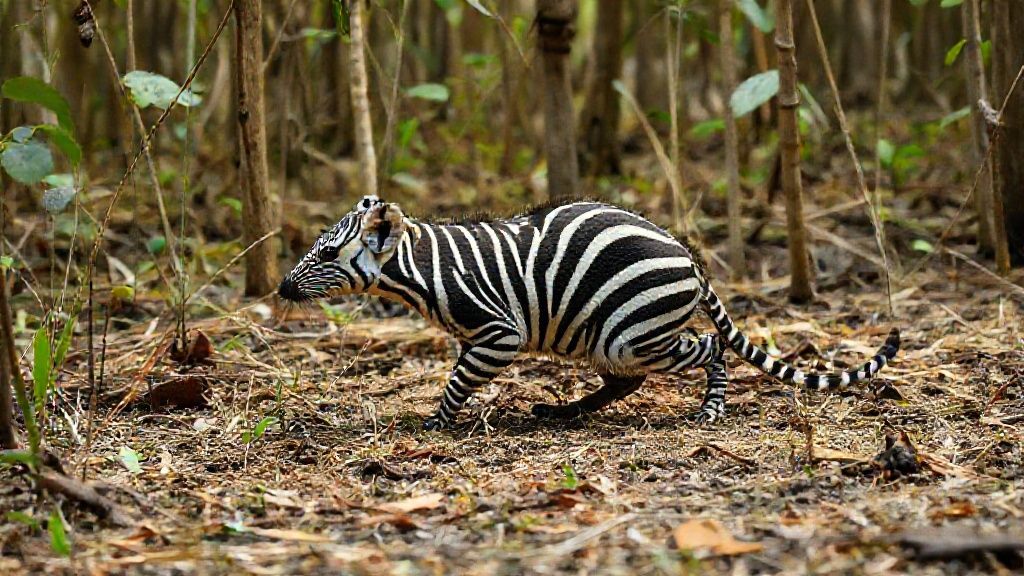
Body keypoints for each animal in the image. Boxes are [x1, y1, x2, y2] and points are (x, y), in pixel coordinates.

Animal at [279, 196, 900, 430]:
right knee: (626, 382)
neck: (423, 271)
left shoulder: (499, 333)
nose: (282, 288)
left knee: (707, 347)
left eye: (328, 255)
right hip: (604, 338)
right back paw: (564, 412)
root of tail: (689, 259)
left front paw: (438, 424)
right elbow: (458, 374)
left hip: (631, 334)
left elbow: (457, 383)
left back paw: (710, 409)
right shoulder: (476, 336)